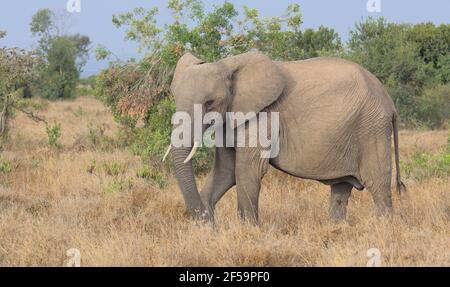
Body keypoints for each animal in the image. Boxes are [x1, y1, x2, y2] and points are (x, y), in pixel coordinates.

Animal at [163, 50, 406, 224]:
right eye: (174, 97)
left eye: (209, 103)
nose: (202, 217)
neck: (227, 65)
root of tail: (390, 102)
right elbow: (226, 171)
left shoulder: (263, 115)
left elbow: (247, 169)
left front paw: (248, 230)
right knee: (341, 189)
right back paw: (337, 228)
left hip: (372, 129)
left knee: (378, 186)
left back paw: (384, 228)